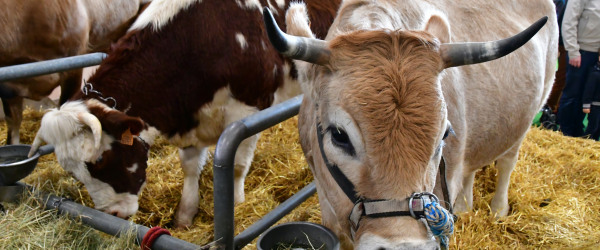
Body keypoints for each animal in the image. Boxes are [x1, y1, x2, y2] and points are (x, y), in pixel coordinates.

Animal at [28, 0, 340, 229]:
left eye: (100, 161)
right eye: (72, 171)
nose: (113, 214)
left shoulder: (249, 108)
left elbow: (237, 165)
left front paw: (236, 205)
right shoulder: (190, 117)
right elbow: (189, 168)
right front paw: (184, 216)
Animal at [266, 0, 556, 248]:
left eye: (444, 135)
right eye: (339, 135)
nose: (403, 245)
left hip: (532, 111)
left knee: (507, 161)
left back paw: (498, 210)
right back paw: (465, 206)